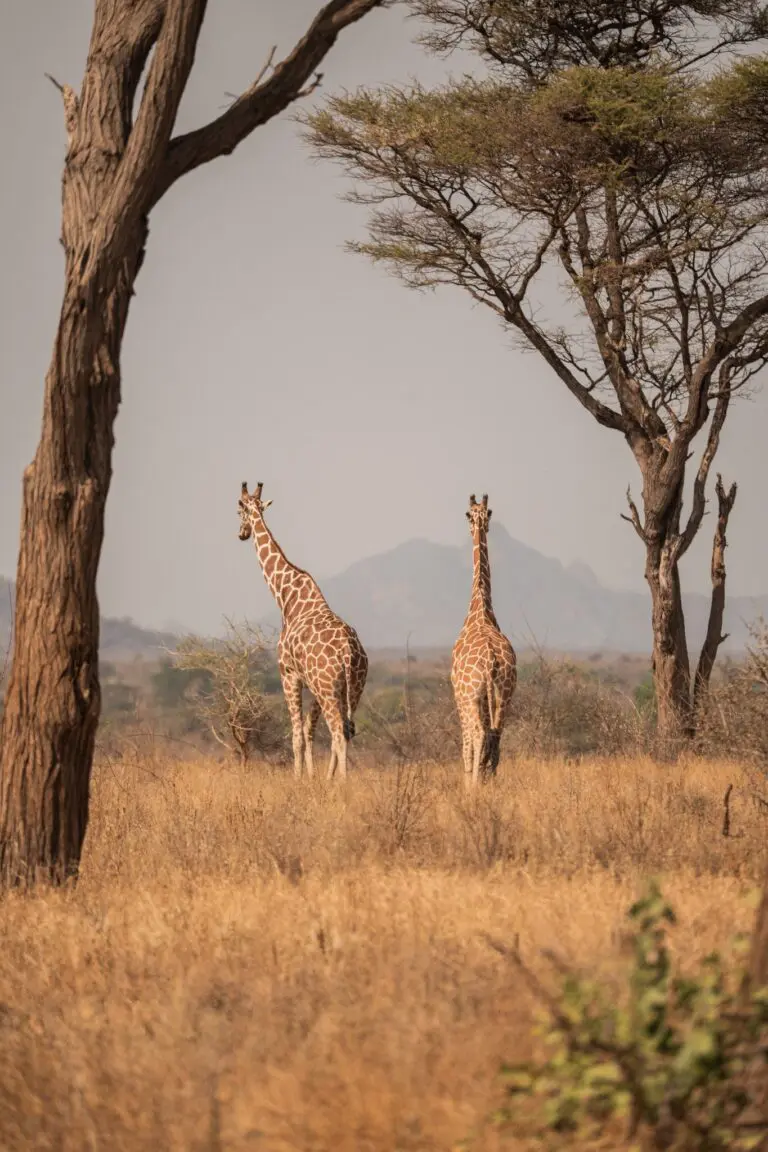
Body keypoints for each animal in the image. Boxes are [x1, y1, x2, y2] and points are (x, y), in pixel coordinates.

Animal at [237, 482, 368, 780]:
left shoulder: (289, 674)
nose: (241, 533)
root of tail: (349, 652)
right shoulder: (313, 685)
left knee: (338, 734)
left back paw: (343, 783)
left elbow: (296, 734)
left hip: (329, 689)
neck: (286, 597)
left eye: (238, 510)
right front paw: (314, 778)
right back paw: (334, 779)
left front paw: (298, 779)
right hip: (352, 688)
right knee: (344, 732)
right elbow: (309, 731)